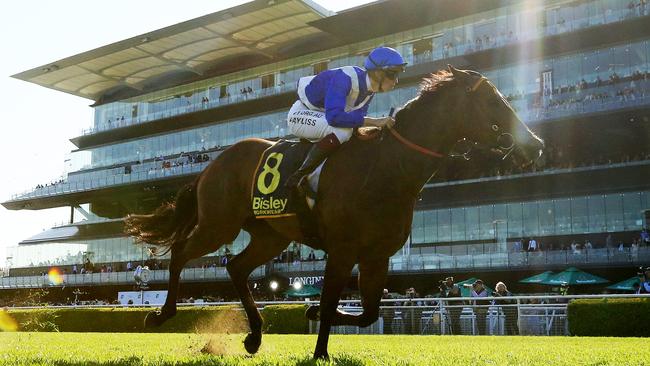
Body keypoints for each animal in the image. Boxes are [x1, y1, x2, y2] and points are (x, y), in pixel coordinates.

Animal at [125, 65, 540, 358]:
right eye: (494, 102)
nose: (534, 145)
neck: (388, 168)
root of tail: (213, 164)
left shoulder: (376, 256)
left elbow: (370, 312)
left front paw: (308, 316)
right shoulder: (341, 250)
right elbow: (328, 303)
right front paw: (320, 351)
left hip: (271, 236)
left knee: (237, 268)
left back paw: (255, 334)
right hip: (218, 224)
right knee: (181, 253)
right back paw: (161, 314)